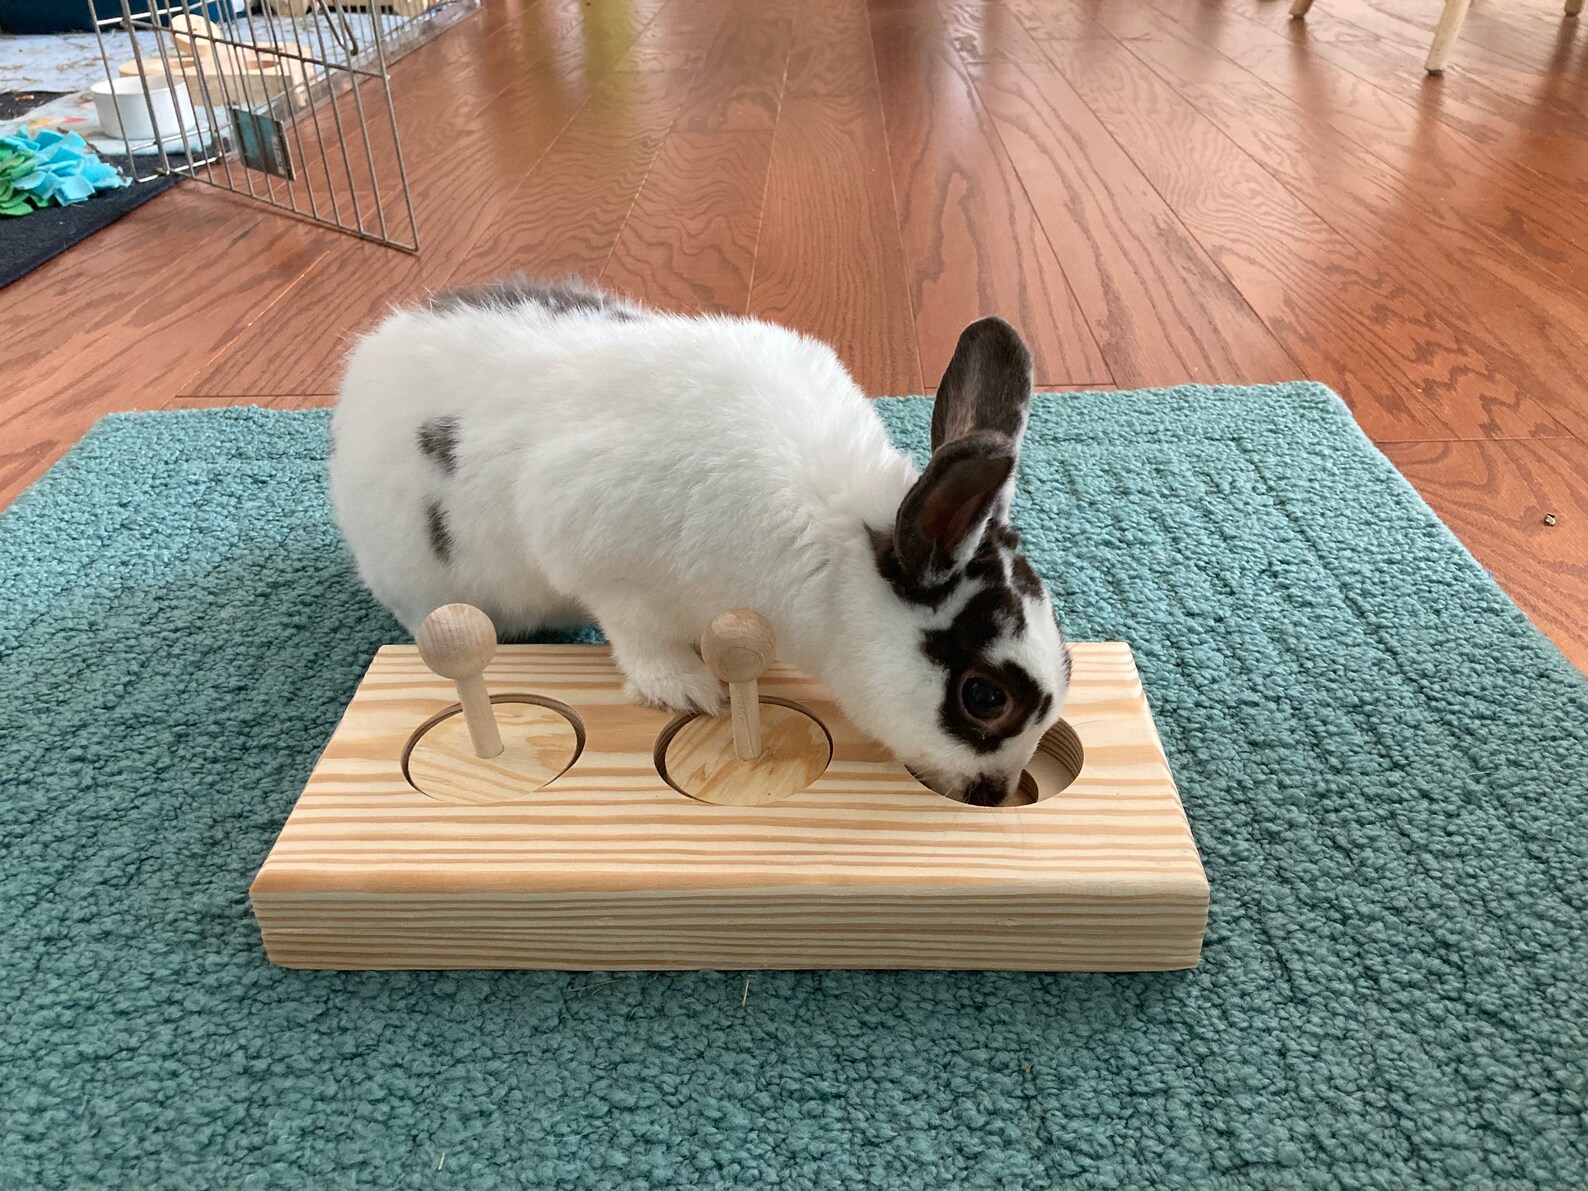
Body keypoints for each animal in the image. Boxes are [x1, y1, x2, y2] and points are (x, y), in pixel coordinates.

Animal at [329, 276, 1070, 807]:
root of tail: (356, 389)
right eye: (984, 697)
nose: (994, 794)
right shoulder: (601, 559)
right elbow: (637, 636)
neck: (833, 552)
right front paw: (688, 691)